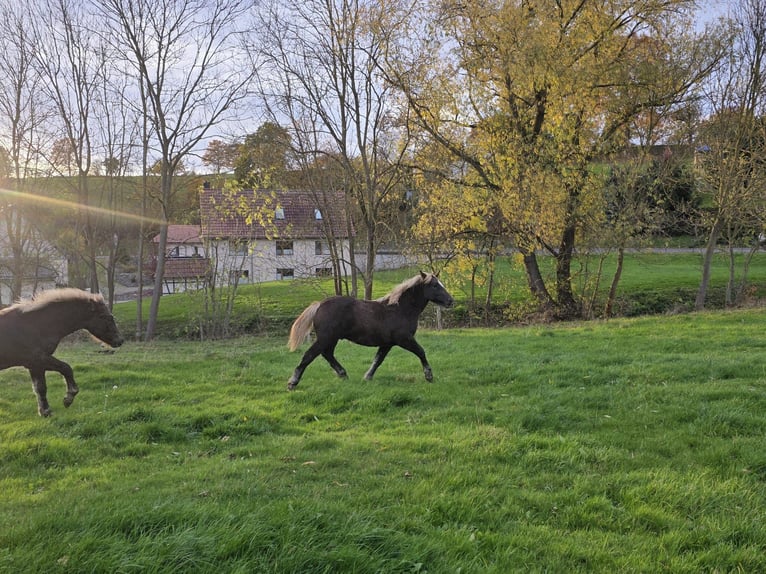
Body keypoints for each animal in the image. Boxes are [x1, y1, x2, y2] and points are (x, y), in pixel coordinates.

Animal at [0, 288, 124, 416]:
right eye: (105, 317)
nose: (120, 340)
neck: (35, 325)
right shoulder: (39, 359)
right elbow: (66, 368)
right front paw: (68, 398)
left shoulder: (34, 364)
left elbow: (40, 387)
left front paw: (45, 412)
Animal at [287, 272, 454, 390]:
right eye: (435, 285)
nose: (451, 301)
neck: (399, 309)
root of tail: (319, 305)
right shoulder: (404, 339)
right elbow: (421, 352)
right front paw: (429, 376)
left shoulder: (387, 344)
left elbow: (377, 360)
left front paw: (367, 377)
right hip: (326, 338)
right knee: (309, 355)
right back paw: (292, 383)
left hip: (331, 339)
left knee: (327, 354)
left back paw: (343, 374)